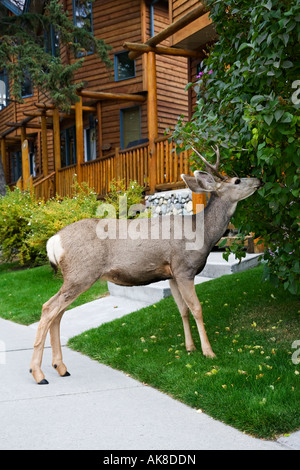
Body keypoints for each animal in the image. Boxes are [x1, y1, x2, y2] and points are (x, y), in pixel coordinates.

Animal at [29, 146, 262, 382]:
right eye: (237, 180)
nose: (259, 180)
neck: (201, 233)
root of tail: (53, 241)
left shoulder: (171, 274)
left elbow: (182, 310)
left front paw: (190, 348)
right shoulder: (184, 268)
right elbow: (196, 308)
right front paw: (208, 352)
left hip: (75, 276)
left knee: (57, 314)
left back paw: (60, 367)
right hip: (81, 273)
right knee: (48, 308)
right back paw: (39, 373)